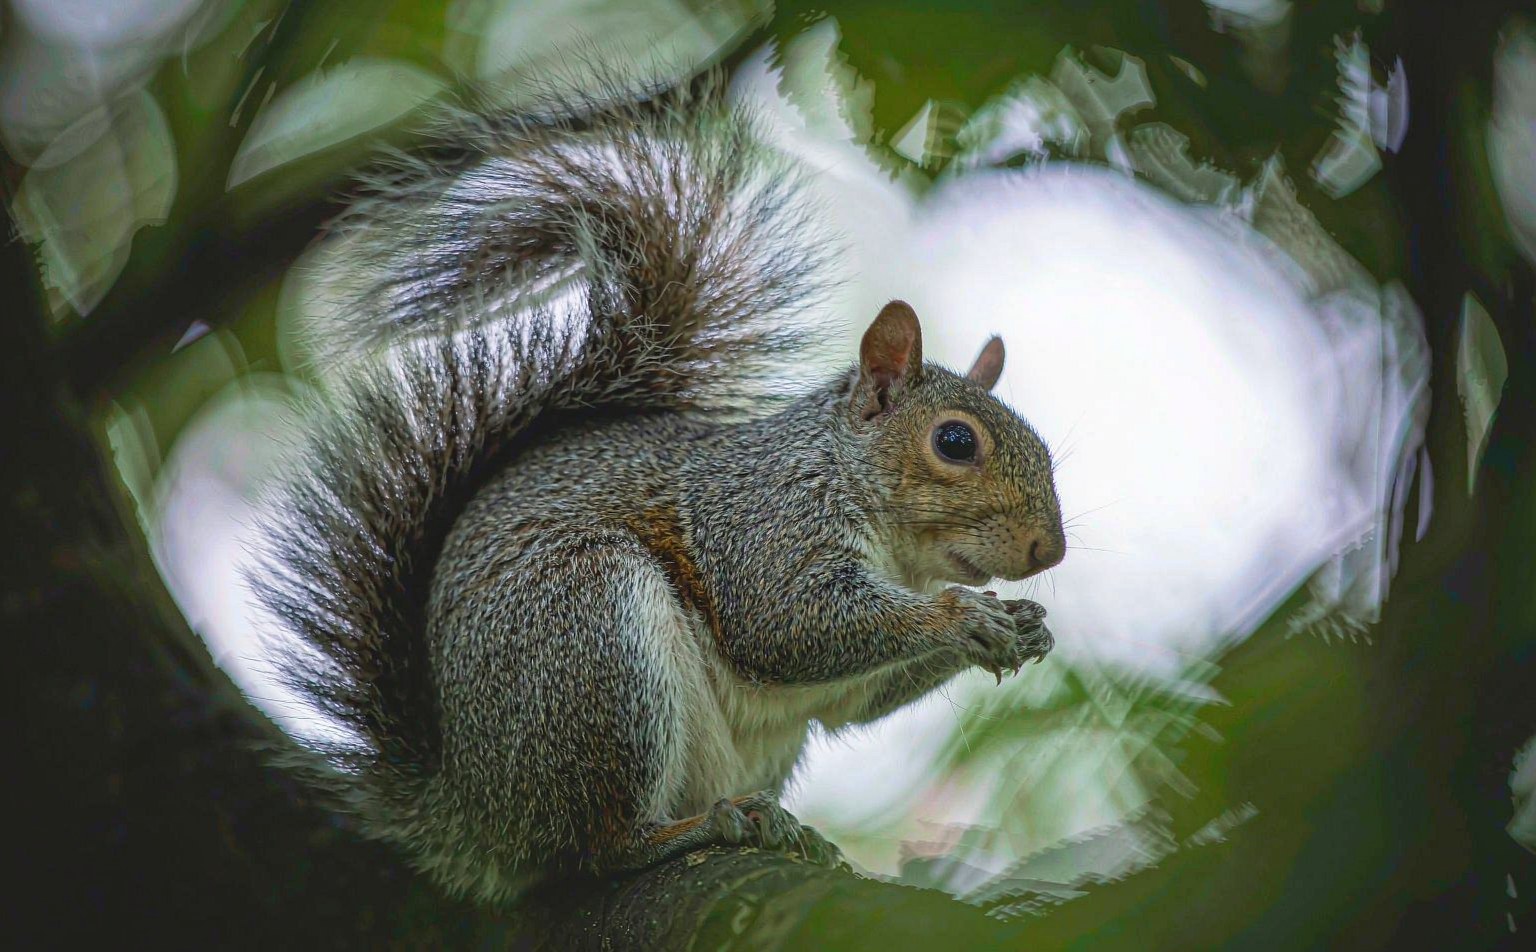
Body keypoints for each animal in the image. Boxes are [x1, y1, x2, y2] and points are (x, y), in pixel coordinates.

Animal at [249, 74, 1066, 904]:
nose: (1050, 549)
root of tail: (481, 817)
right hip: (589, 641)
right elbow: (787, 624)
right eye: (955, 442)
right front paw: (964, 616)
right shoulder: (762, 521)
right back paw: (686, 831)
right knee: (593, 848)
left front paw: (1022, 626)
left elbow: (849, 700)